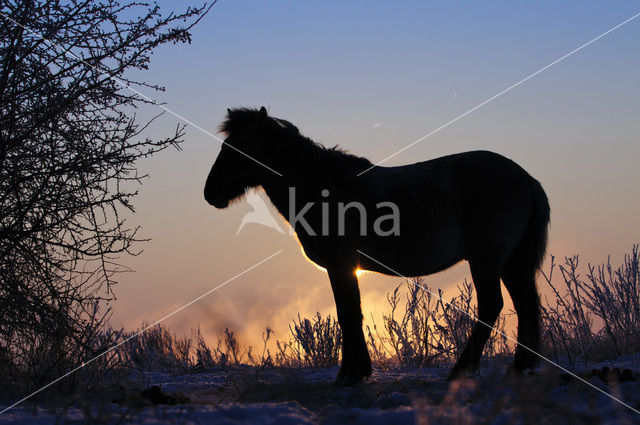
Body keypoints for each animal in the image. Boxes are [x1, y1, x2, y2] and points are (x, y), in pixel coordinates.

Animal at [205, 107, 552, 384]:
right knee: (526, 305)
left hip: (486, 260)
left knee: (492, 305)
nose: (210, 193)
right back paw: (520, 368)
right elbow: (350, 313)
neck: (326, 189)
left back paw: (461, 370)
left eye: (240, 147)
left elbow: (348, 314)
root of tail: (526, 179)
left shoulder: (341, 264)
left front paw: (351, 374)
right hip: (511, 263)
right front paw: (355, 370)